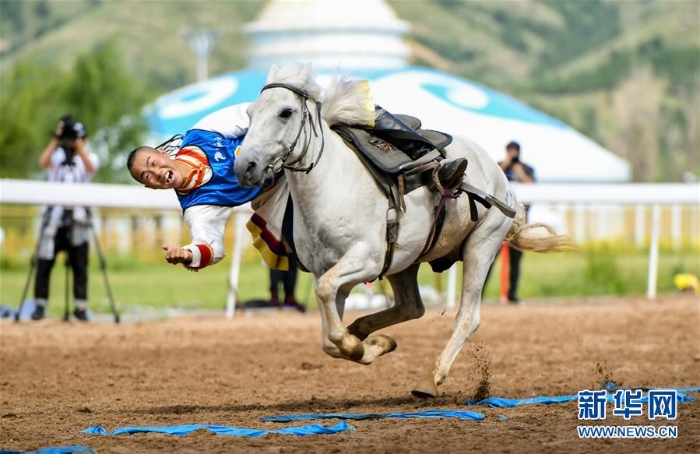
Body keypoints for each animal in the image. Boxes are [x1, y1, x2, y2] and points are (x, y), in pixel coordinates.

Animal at [235, 63, 568, 398]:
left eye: (286, 112)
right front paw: (369, 343)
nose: (244, 166)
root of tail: (501, 177)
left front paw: (358, 345)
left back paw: (430, 378)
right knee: (412, 306)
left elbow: (329, 308)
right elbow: (329, 337)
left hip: (481, 247)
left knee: (467, 317)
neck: (333, 182)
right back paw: (368, 332)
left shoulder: (365, 260)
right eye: (250, 113)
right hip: (403, 261)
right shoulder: (327, 271)